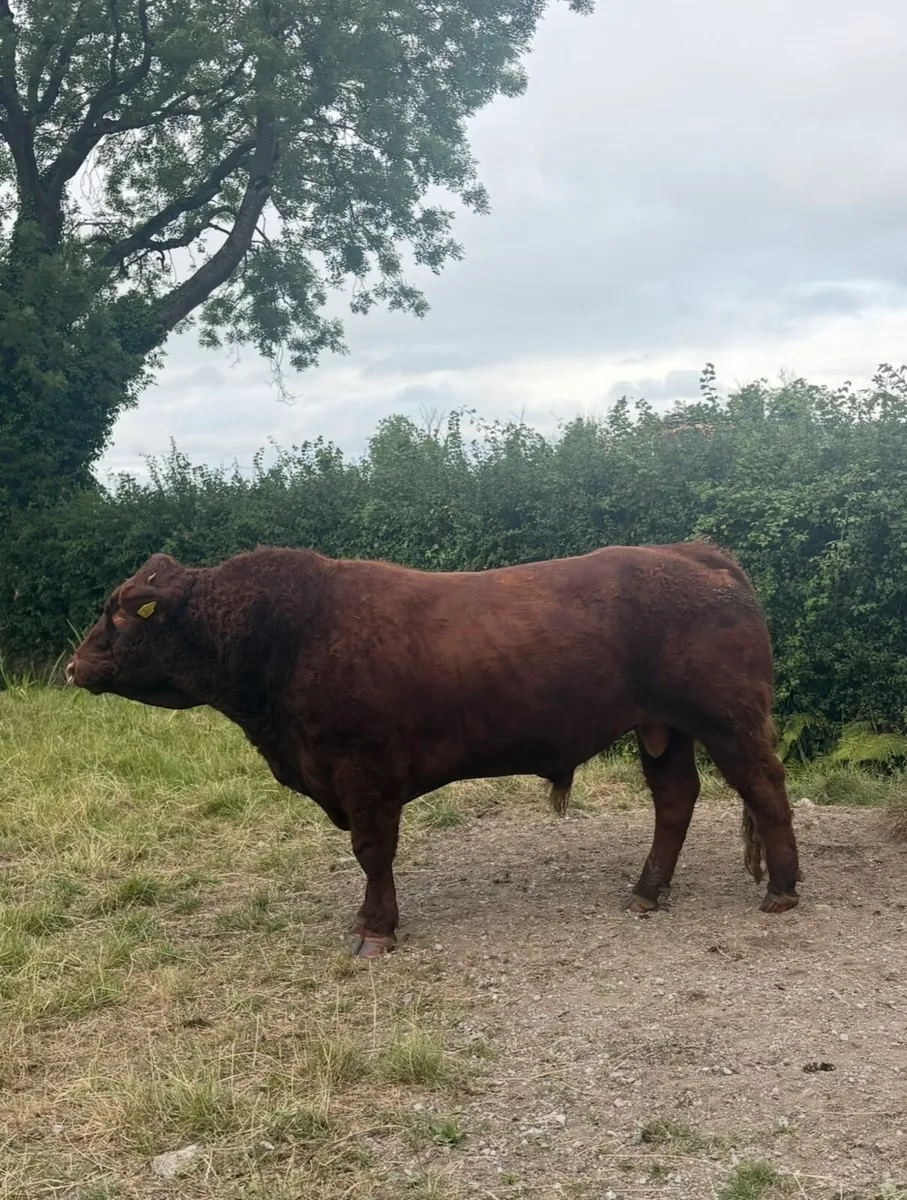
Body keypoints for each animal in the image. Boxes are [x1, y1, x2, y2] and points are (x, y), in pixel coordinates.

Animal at [66, 542, 801, 958]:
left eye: (121, 611)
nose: (73, 667)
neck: (284, 636)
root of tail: (695, 551)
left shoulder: (363, 770)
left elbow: (372, 851)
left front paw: (375, 928)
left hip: (727, 721)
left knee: (765, 789)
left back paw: (783, 891)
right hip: (663, 729)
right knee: (676, 799)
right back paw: (646, 892)